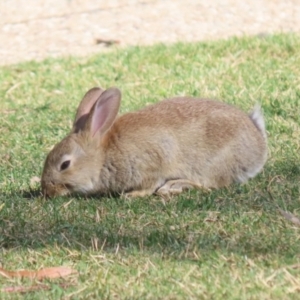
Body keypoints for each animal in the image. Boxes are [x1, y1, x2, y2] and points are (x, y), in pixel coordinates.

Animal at [40, 85, 268, 198]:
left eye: (65, 165)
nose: (47, 192)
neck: (103, 156)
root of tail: (258, 145)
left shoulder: (152, 162)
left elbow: (150, 184)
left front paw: (132, 195)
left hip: (212, 164)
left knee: (208, 185)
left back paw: (173, 187)